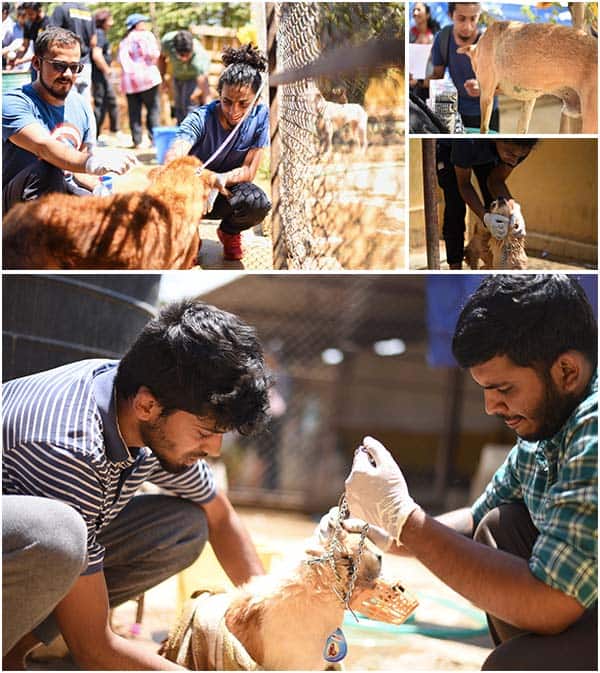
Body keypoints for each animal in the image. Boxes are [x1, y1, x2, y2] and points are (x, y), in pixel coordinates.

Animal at [460, 20, 596, 133]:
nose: (474, 84)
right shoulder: (528, 102)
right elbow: (521, 130)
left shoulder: (486, 96)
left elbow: (483, 128)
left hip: (590, 120)